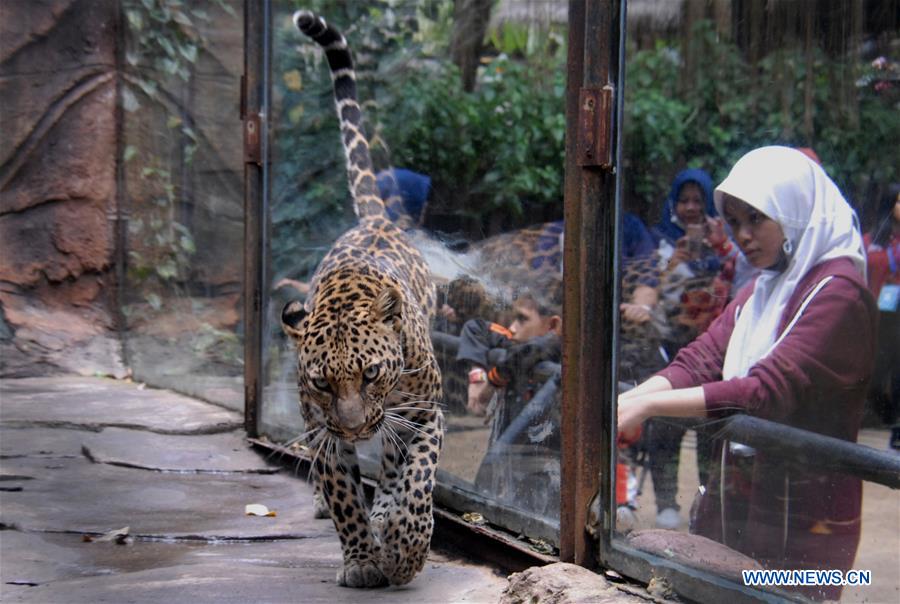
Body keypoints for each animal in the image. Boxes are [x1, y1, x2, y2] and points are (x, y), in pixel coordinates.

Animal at [282, 8, 442, 584]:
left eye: (372, 374)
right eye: (322, 383)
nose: (354, 428)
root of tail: (376, 220)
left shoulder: (425, 415)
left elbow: (416, 482)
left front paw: (406, 546)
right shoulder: (320, 428)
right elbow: (345, 497)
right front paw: (362, 560)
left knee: (395, 469)